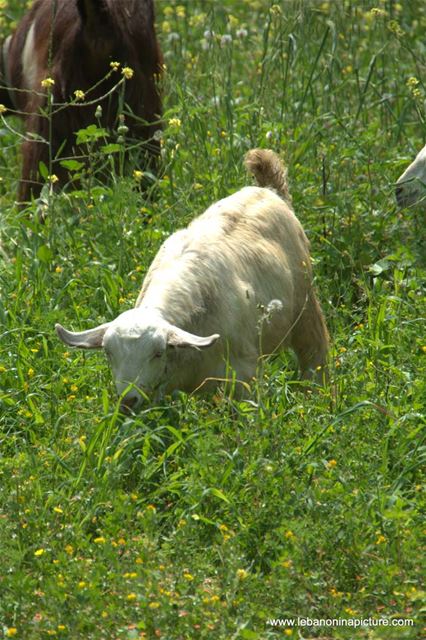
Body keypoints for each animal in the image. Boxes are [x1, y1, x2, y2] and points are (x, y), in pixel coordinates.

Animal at [55, 150, 330, 410]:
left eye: (158, 353)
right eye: (108, 352)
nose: (128, 400)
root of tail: (269, 191)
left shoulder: (243, 376)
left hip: (305, 306)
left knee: (315, 354)